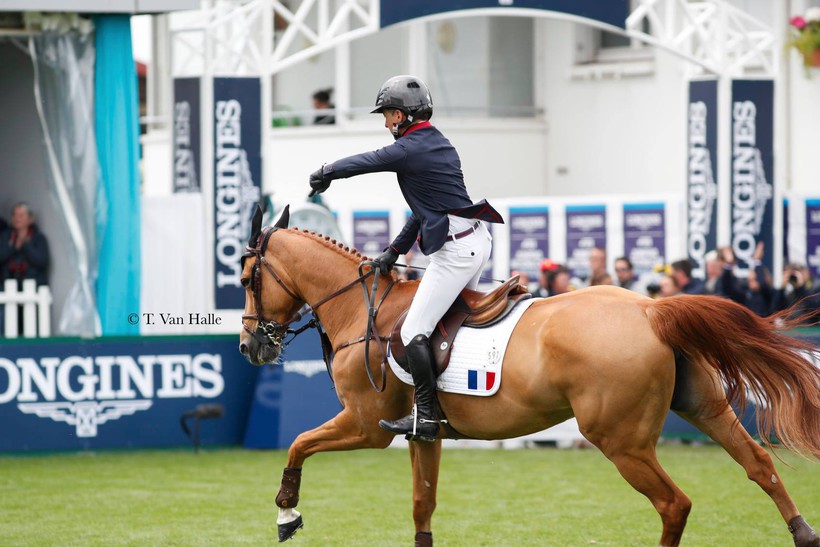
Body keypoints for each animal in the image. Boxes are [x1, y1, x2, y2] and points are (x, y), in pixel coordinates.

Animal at [239, 208, 820, 544]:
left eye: (246, 278)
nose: (250, 346)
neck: (362, 310)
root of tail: (650, 309)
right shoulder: (422, 435)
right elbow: (422, 504)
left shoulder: (364, 423)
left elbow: (297, 443)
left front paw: (286, 515)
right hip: (703, 407)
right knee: (760, 465)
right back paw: (802, 533)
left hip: (621, 441)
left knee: (673, 504)